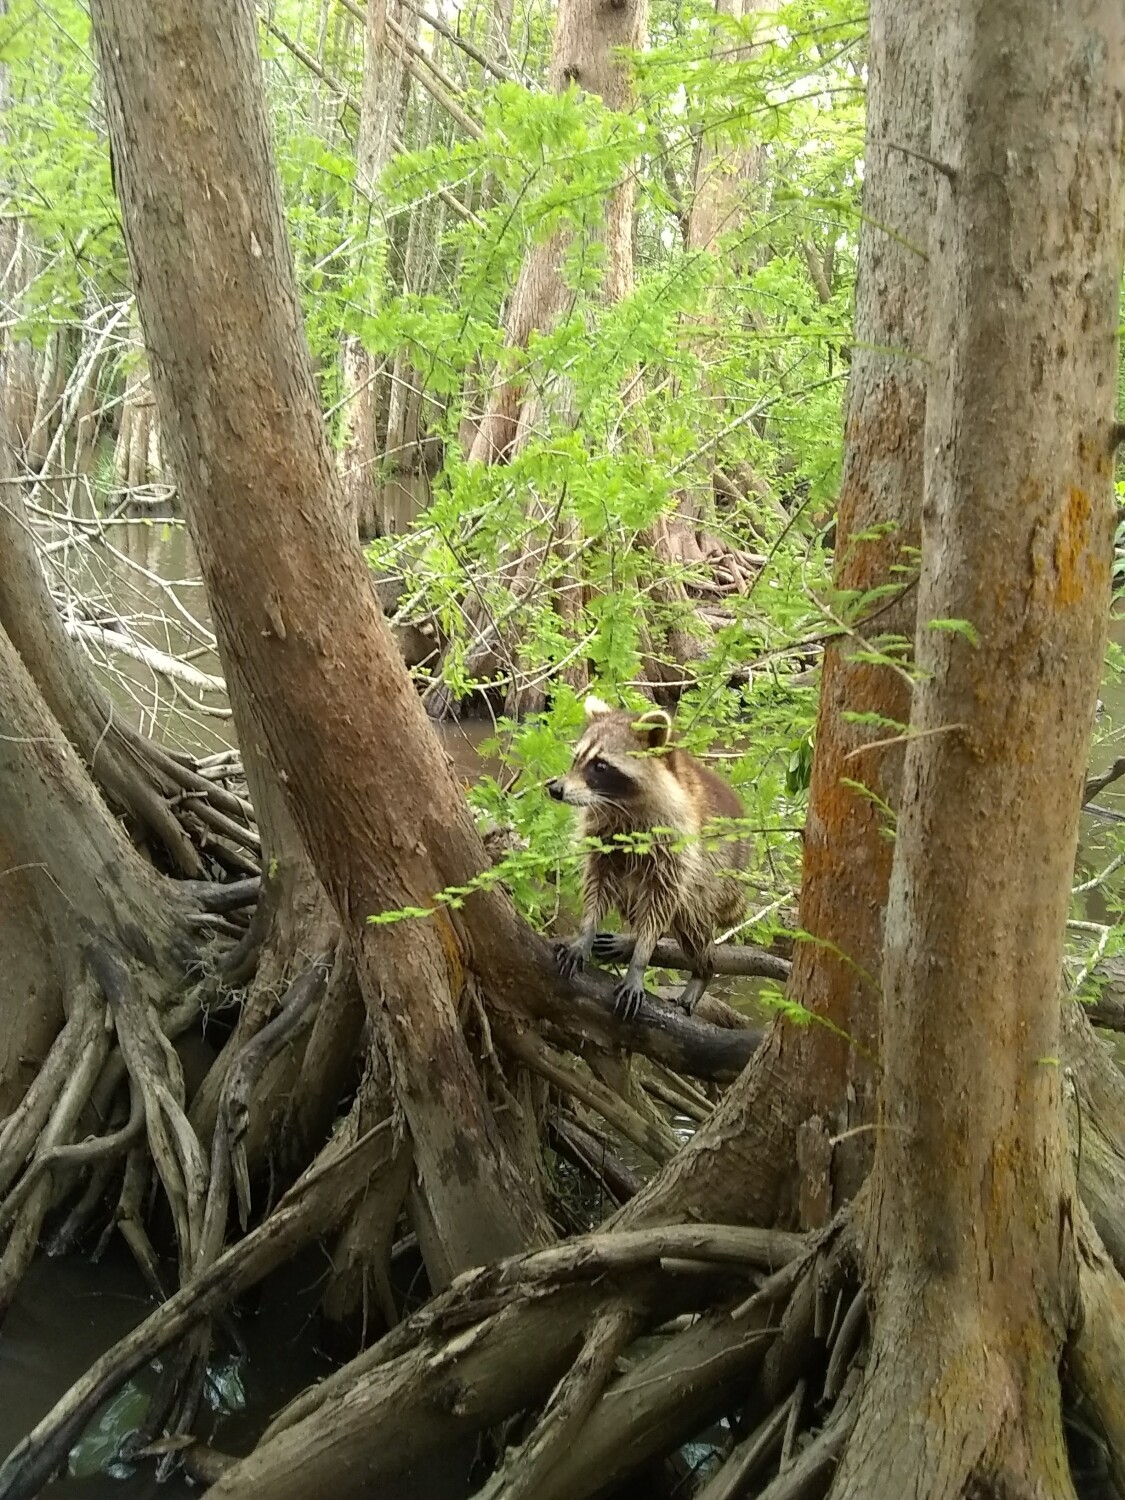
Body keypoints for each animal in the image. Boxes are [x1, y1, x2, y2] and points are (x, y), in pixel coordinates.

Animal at [547, 696, 747, 1020]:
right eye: (576, 759)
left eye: (600, 766)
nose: (555, 788)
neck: (620, 804)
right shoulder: (603, 840)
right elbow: (597, 887)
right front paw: (585, 934)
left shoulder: (675, 846)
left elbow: (661, 903)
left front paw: (638, 963)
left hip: (711, 880)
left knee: (689, 921)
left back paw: (702, 970)